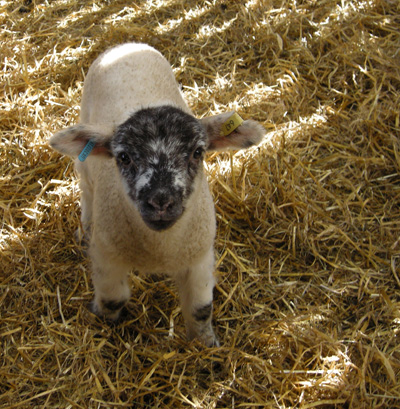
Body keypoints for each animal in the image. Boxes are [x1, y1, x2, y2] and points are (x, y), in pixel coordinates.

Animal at [49, 43, 266, 346]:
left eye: (197, 152)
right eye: (124, 157)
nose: (161, 201)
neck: (159, 250)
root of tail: (126, 44)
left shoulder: (200, 258)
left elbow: (200, 308)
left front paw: (206, 344)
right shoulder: (106, 256)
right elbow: (114, 299)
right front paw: (103, 322)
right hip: (85, 153)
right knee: (86, 190)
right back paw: (85, 230)